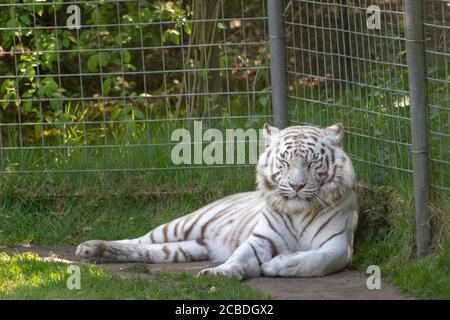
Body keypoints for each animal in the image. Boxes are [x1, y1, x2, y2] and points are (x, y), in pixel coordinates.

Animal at [76, 124, 358, 278]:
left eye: (311, 163)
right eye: (285, 162)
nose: (296, 186)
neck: (298, 212)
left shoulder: (338, 246)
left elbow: (313, 261)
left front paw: (275, 265)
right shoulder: (261, 239)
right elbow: (240, 256)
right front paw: (220, 273)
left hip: (185, 248)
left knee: (147, 251)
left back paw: (96, 251)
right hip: (180, 225)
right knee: (137, 240)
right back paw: (88, 247)